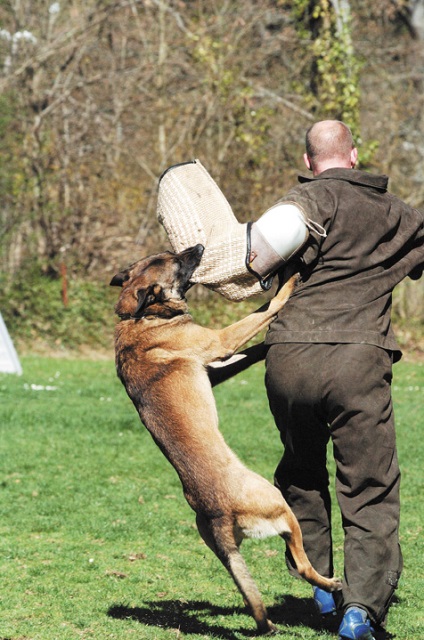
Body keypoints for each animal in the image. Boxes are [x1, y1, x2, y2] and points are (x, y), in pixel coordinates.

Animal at [110, 245, 342, 636]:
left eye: (170, 254)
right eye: (178, 262)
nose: (198, 248)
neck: (141, 318)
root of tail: (218, 513)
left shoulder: (218, 364)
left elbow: (253, 345)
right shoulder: (221, 342)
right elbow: (263, 312)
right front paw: (289, 280)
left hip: (227, 550)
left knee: (256, 593)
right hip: (280, 505)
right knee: (301, 565)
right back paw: (330, 584)